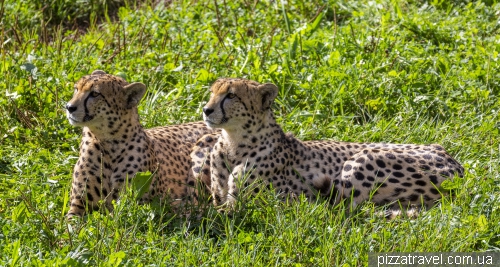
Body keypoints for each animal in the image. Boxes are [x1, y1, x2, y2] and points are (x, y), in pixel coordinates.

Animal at [65, 70, 216, 217]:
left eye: (95, 93)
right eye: (76, 89)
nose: (69, 107)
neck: (107, 143)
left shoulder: (134, 205)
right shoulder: (77, 206)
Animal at [190, 78, 464, 217]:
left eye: (231, 95)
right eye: (212, 92)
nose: (206, 110)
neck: (234, 143)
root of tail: (455, 163)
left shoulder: (248, 204)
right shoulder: (219, 197)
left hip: (362, 160)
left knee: (344, 211)